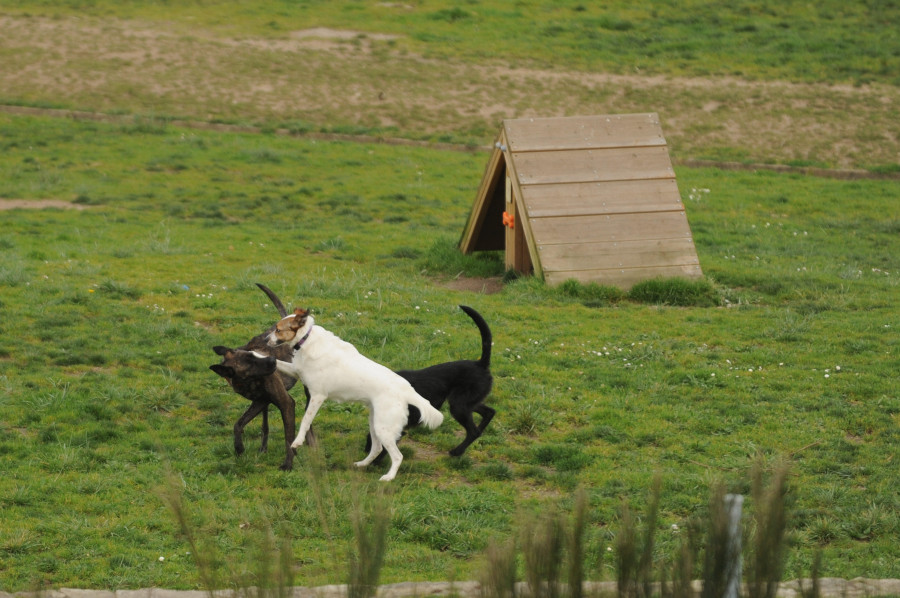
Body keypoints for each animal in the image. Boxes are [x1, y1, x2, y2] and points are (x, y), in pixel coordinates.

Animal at [210, 286, 314, 474]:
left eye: (253, 355)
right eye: (250, 362)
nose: (273, 360)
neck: (249, 382)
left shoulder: (286, 403)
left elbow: (289, 438)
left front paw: (288, 464)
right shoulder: (259, 402)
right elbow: (238, 424)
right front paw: (239, 448)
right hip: (266, 404)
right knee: (265, 426)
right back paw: (263, 448)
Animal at [260, 310, 442, 482]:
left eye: (278, 330)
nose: (265, 339)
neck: (307, 340)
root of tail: (406, 389)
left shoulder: (318, 395)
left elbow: (305, 421)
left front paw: (297, 441)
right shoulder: (295, 372)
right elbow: (274, 360)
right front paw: (255, 355)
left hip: (383, 428)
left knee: (397, 456)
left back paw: (388, 477)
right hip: (375, 423)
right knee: (377, 449)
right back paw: (361, 464)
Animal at [370, 308, 496, 462]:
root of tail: (481, 364)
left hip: (459, 405)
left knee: (474, 431)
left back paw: (457, 451)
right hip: (467, 402)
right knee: (489, 413)